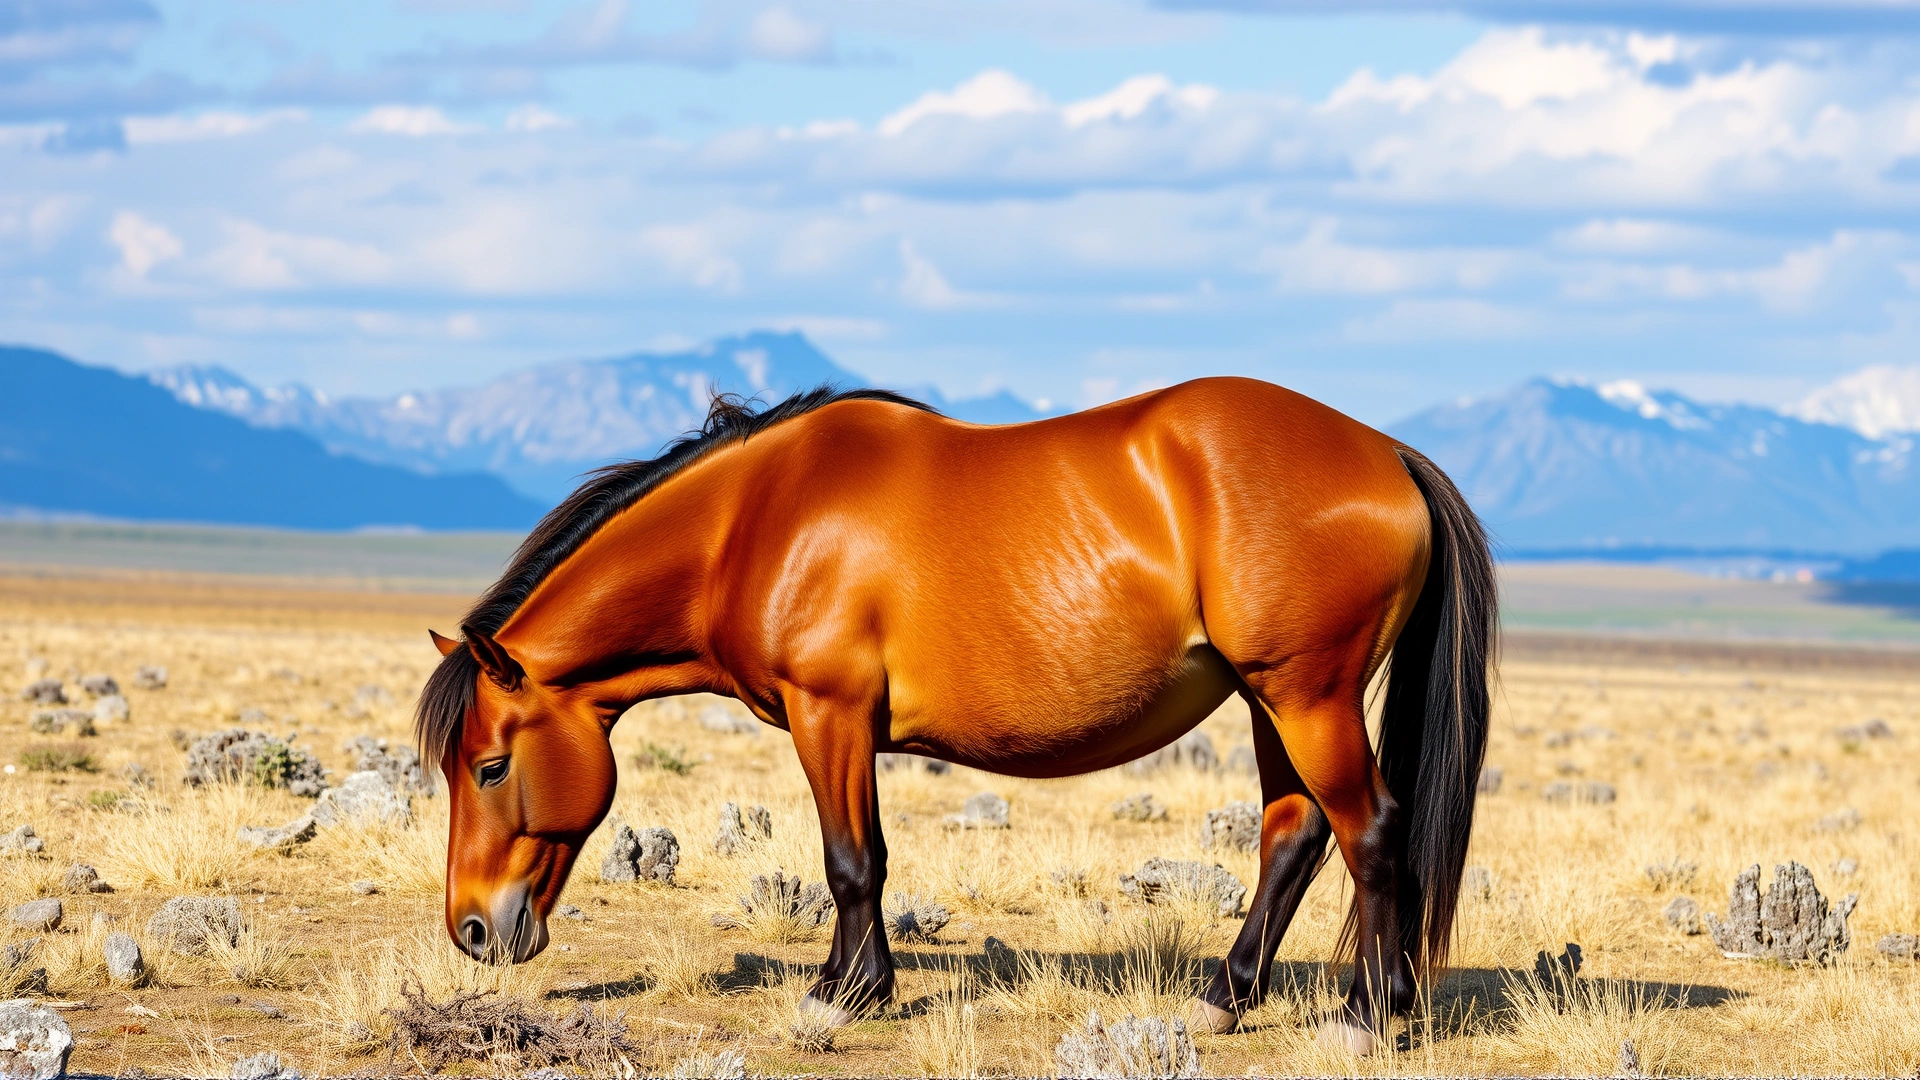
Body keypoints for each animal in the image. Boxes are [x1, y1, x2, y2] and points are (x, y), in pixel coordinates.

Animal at [416, 376, 1495, 1053]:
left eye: (489, 767)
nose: (470, 930)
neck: (755, 520)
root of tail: (1388, 454)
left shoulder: (832, 716)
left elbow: (852, 863)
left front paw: (841, 999)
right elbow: (861, 863)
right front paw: (856, 985)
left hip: (1306, 697)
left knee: (1371, 832)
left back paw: (1369, 1016)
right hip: (1274, 700)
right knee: (1295, 835)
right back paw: (1222, 1001)